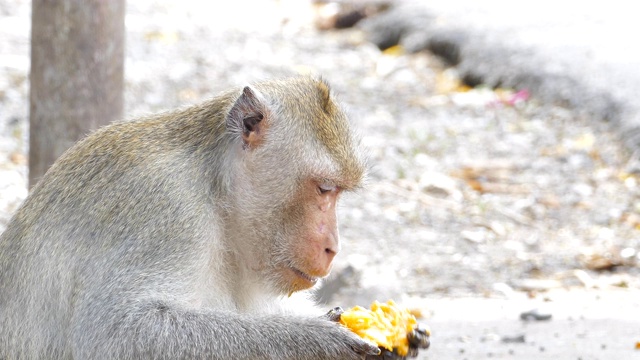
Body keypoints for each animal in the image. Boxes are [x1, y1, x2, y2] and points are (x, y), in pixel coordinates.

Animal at [0, 77, 388, 358]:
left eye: (337, 193)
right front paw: (314, 338)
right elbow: (113, 333)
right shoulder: (166, 207)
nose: (333, 247)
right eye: (325, 189)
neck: (217, 194)